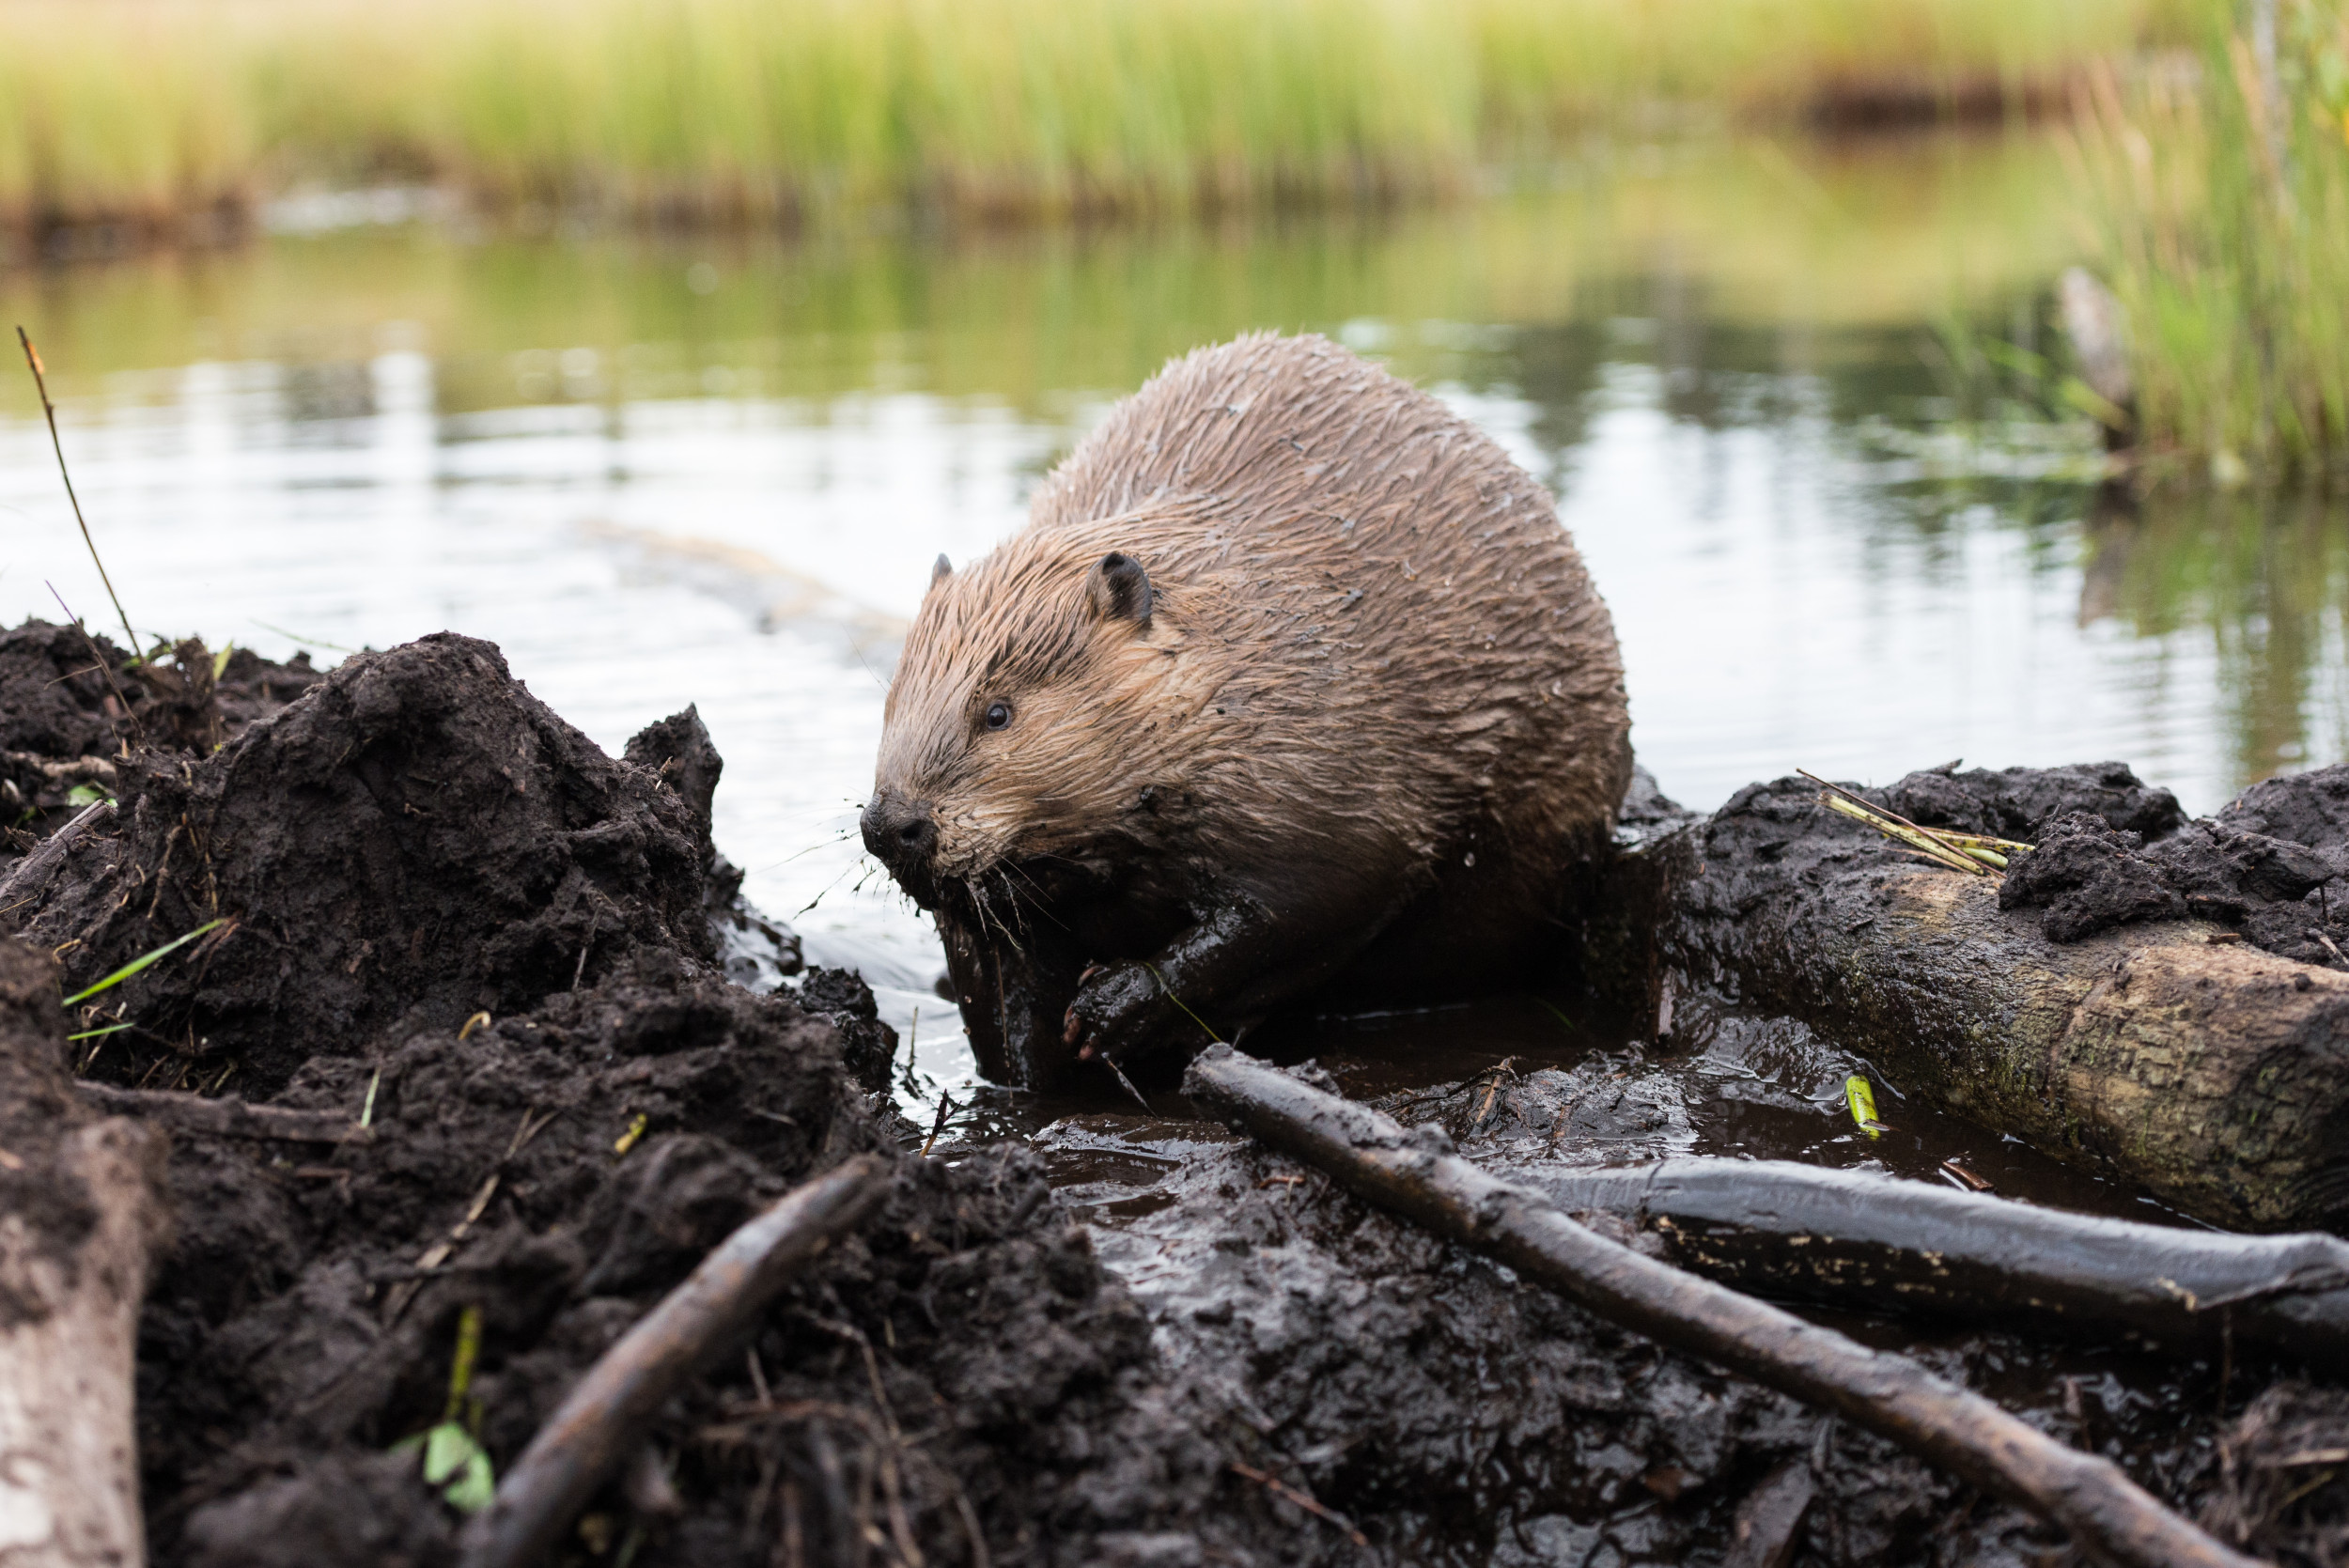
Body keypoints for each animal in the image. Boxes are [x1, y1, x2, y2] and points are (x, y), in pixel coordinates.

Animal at [864, 333, 1635, 1089]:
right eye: (892, 699)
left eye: (997, 712)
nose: (890, 826)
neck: (1242, 645)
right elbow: (999, 960)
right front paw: (1028, 1064)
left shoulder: (1325, 767)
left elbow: (1304, 903)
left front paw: (1110, 1007)